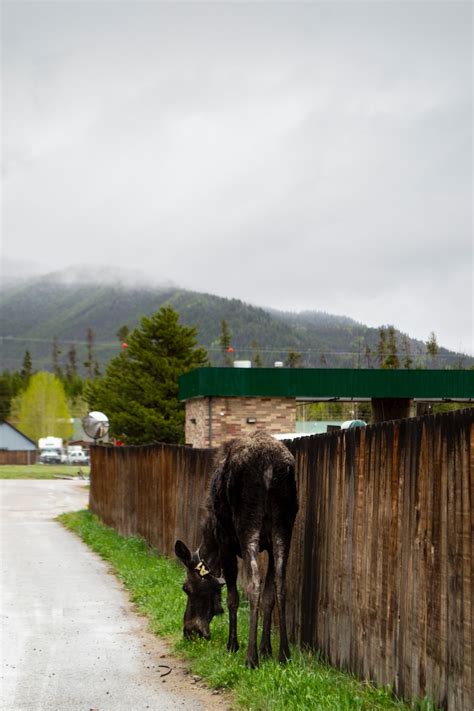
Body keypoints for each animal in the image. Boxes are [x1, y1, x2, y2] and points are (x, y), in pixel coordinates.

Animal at [176, 432, 298, 672]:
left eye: (186, 588)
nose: (190, 632)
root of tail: (270, 466)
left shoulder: (225, 542)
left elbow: (232, 596)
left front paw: (232, 645)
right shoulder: (270, 545)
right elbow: (269, 595)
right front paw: (266, 649)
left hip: (247, 526)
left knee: (253, 584)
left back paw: (251, 658)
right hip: (284, 526)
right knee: (281, 584)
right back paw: (284, 655)